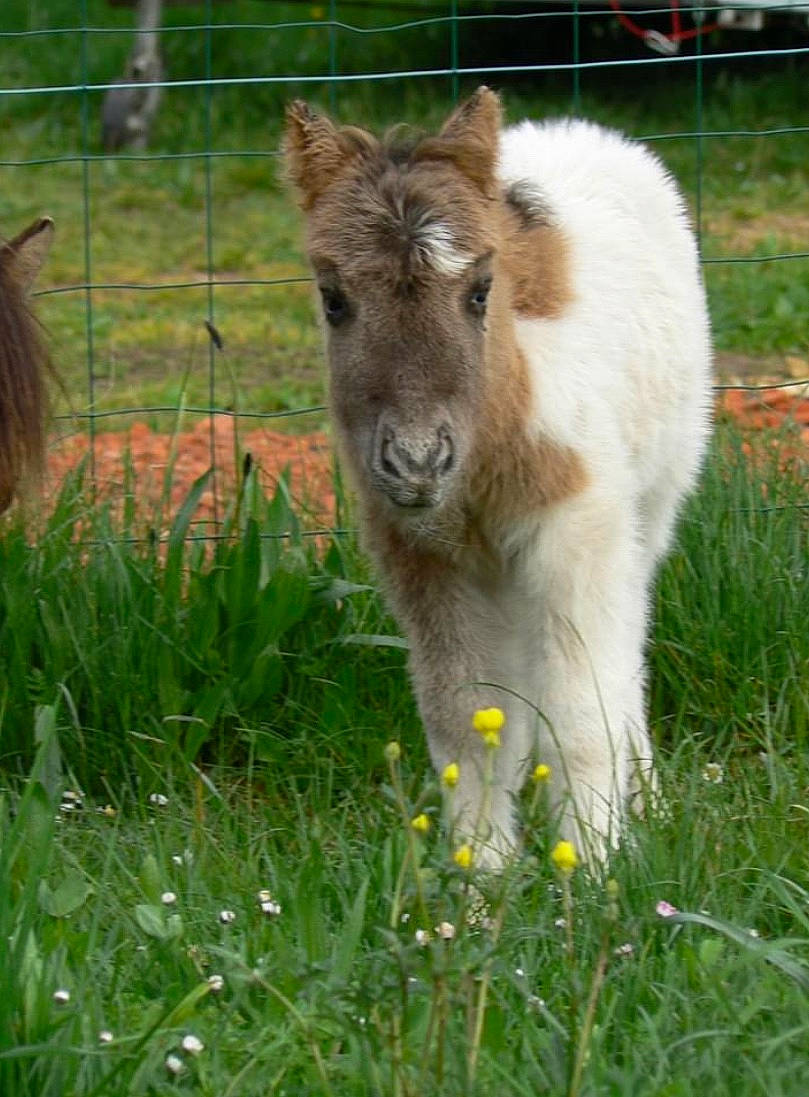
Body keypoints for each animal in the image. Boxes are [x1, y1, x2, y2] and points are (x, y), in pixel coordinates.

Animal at [284, 87, 712, 868]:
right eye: (333, 298)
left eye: (482, 290)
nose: (417, 461)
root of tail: (576, 128)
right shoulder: (421, 554)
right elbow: (464, 719)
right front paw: (481, 875)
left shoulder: (578, 531)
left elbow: (582, 707)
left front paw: (593, 870)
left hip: (654, 499)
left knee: (627, 641)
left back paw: (649, 803)